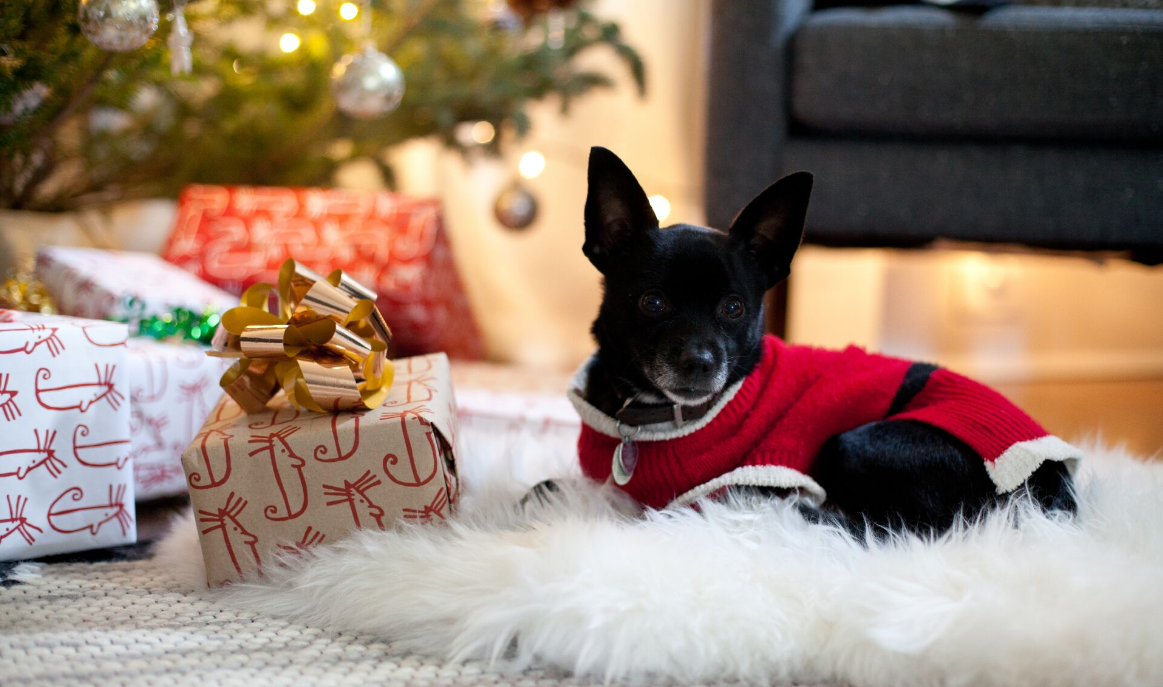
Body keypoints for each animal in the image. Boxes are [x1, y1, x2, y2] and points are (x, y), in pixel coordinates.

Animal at [532, 146, 1069, 537]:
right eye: (652, 302)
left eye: (734, 308)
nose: (700, 361)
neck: (649, 419)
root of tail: (1054, 486)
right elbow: (548, 486)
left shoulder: (749, 480)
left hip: (855, 443)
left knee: (907, 526)